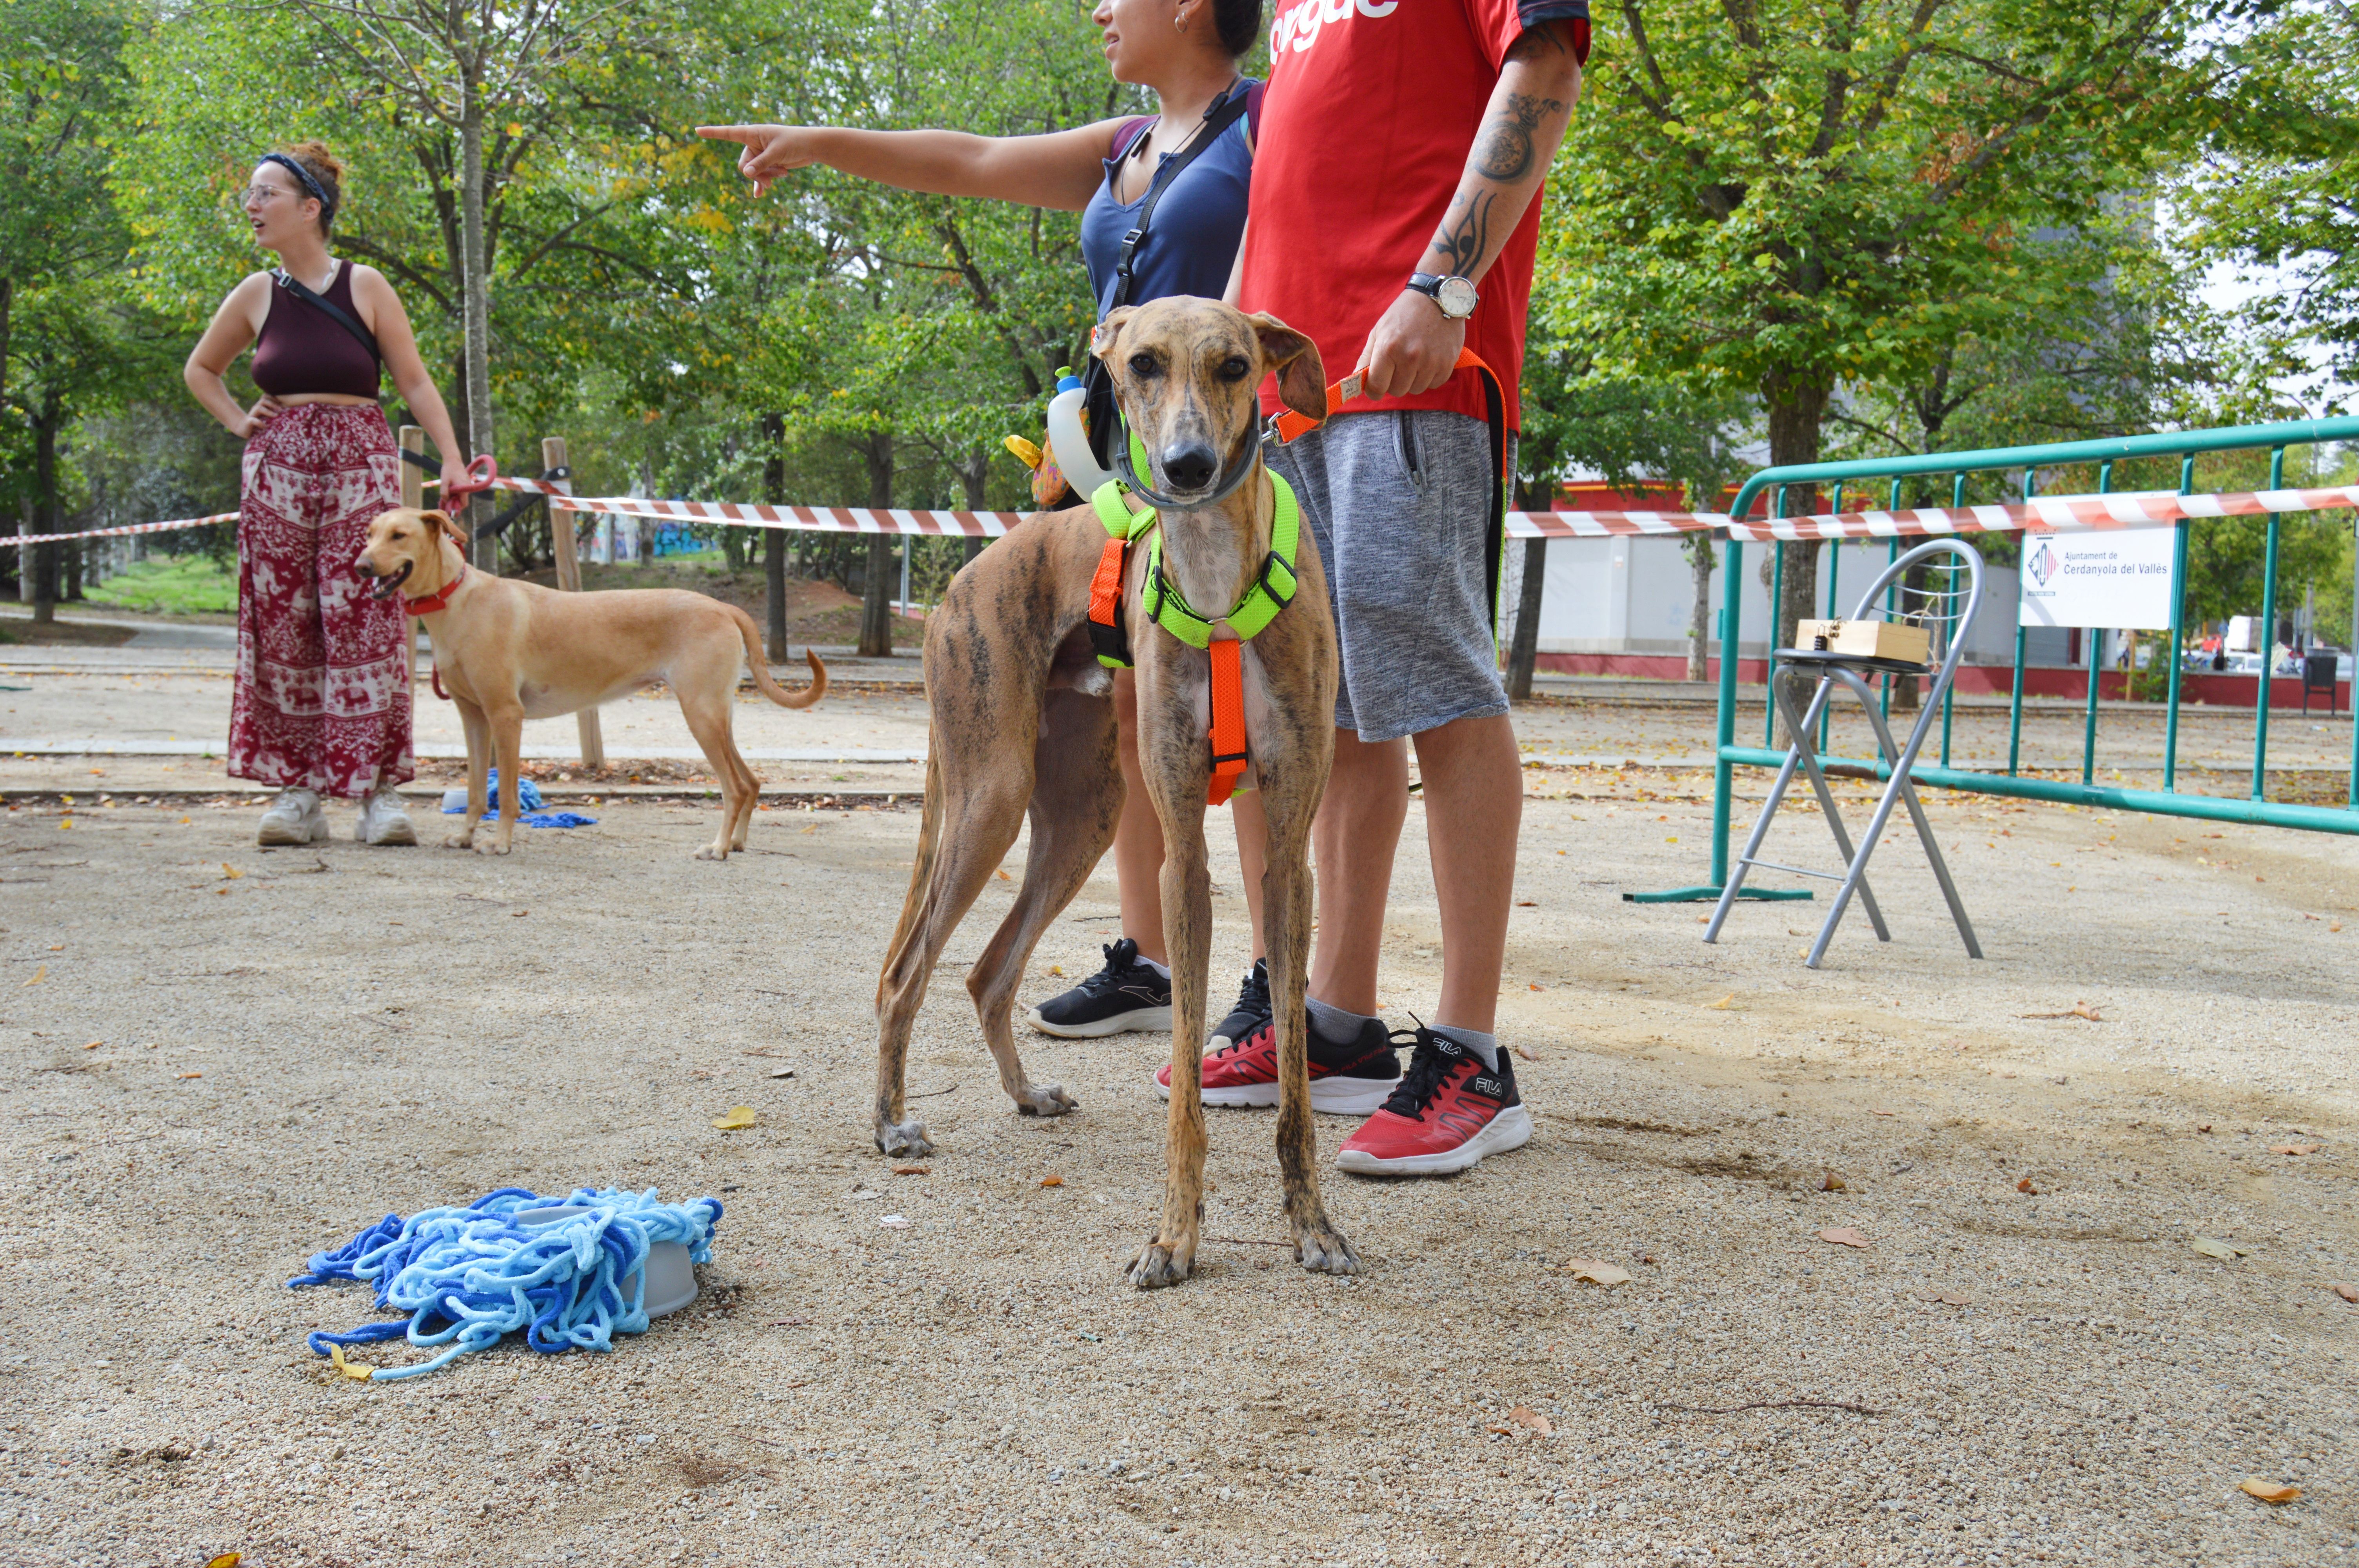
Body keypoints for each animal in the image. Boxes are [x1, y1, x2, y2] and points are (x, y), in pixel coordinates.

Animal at [354, 507, 825, 858]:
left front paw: (501, 842)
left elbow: (505, 794)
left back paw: (718, 846)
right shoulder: (473, 717)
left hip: (701, 716)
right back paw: (737, 843)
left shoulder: (506, 715)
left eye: (399, 535)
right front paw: (467, 836)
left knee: (733, 787)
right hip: (716, 718)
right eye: (370, 534)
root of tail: (724, 607)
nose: (360, 566)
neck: (458, 600)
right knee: (751, 782)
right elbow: (474, 791)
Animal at [868, 293, 1359, 1283]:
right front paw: (1174, 1237)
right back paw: (893, 1125)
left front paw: (1312, 1226)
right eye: (1141, 363)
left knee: (985, 971)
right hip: (990, 794)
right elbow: (1185, 1098)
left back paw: (1024, 1094)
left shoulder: (1288, 860)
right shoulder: (1182, 858)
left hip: (1078, 819)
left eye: (1234, 365)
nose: (1187, 465)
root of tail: (963, 578)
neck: (1216, 581)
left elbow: (1294, 1082)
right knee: (906, 975)